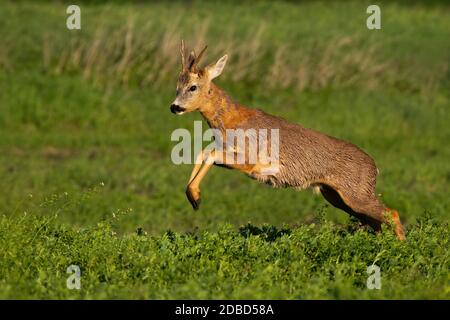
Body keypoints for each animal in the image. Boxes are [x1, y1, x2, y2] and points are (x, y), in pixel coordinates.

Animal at [171, 40, 406, 240]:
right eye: (176, 86)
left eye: (193, 86)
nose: (174, 107)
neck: (232, 122)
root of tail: (375, 168)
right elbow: (203, 152)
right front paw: (193, 196)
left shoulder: (251, 161)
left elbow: (210, 153)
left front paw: (195, 197)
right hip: (335, 196)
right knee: (377, 222)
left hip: (356, 193)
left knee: (391, 214)